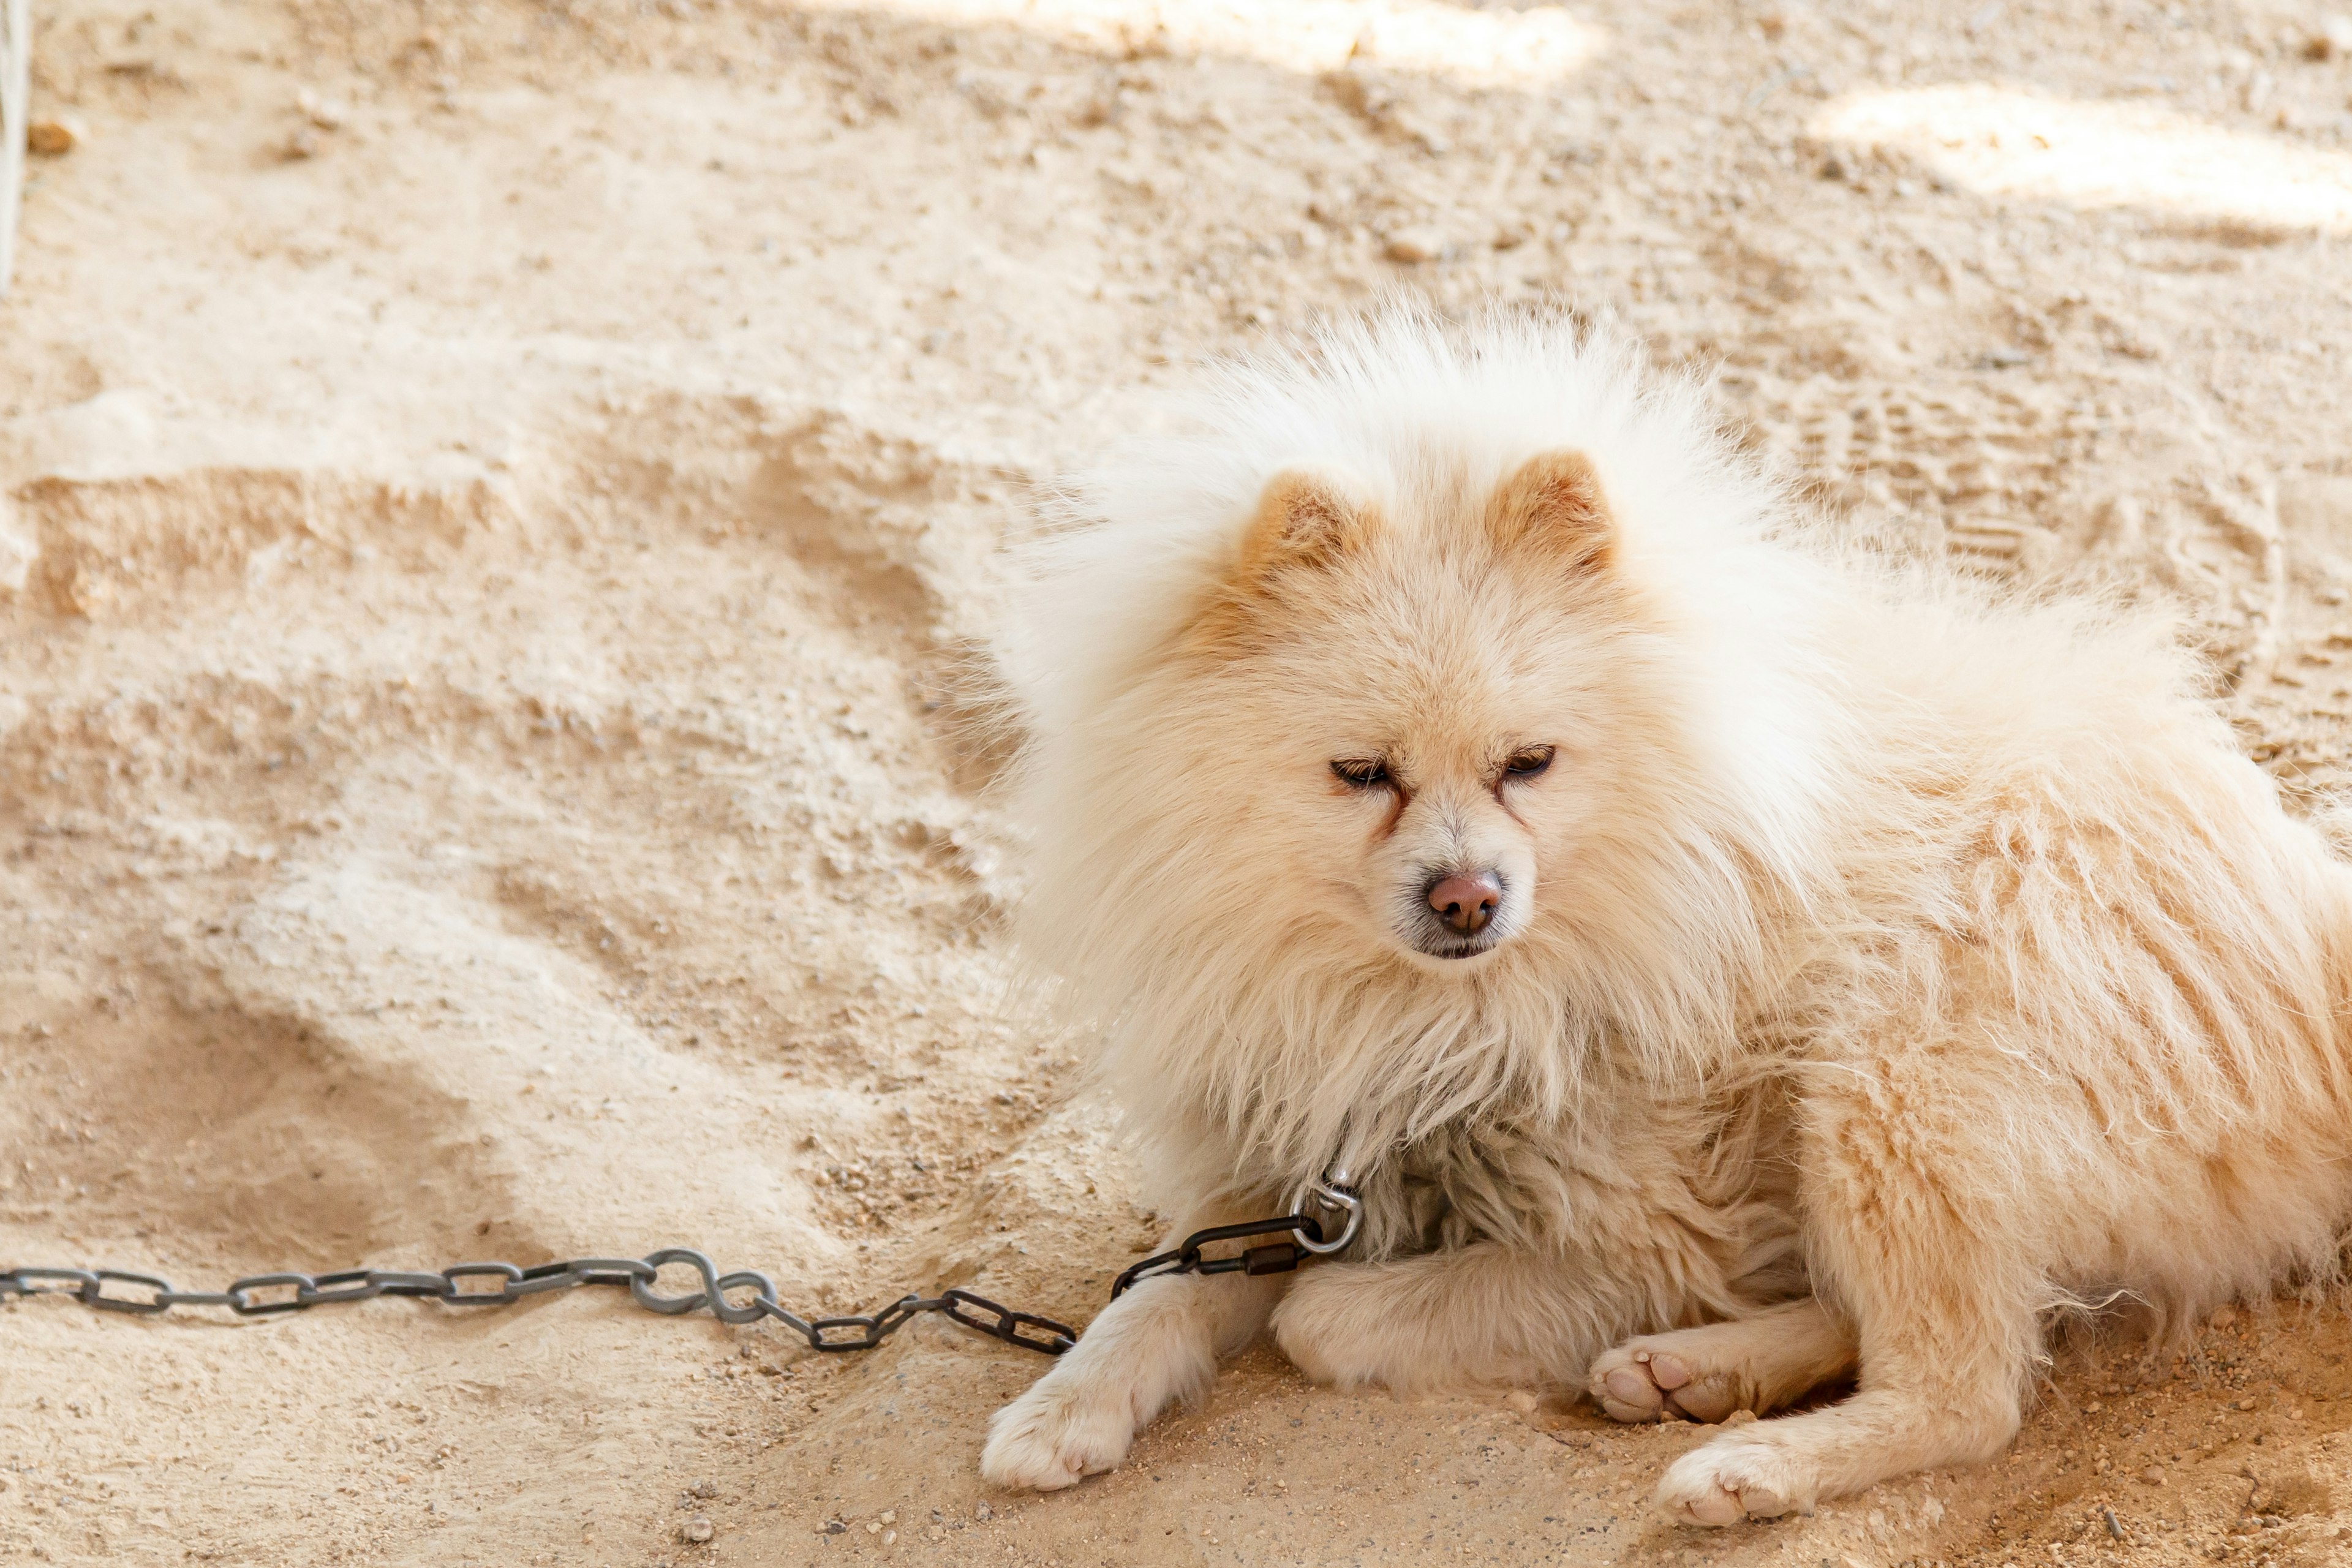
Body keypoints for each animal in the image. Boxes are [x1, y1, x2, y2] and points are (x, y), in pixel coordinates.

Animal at [973, 310, 2352, 1532]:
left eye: (1528, 764)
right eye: (1363, 773)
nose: (1468, 896)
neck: (1424, 1013)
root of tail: (2313, 918)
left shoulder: (1648, 1237)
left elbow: (1322, 1312)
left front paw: (1344, 1312)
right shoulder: (1272, 1157)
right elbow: (1158, 1288)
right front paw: (1062, 1408)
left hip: (1894, 1063)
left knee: (1966, 1389)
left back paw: (1745, 1464)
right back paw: (1695, 1373)